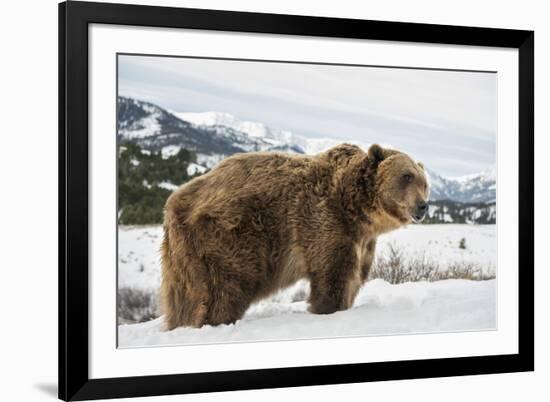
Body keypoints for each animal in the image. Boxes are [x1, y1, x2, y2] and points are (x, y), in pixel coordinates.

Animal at [161, 143, 432, 328]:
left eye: (424, 182)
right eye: (406, 176)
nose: (423, 206)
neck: (356, 209)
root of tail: (174, 202)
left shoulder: (362, 241)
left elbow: (354, 277)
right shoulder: (324, 222)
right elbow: (332, 275)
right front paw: (328, 309)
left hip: (183, 255)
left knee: (183, 299)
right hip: (228, 238)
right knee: (225, 289)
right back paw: (217, 320)